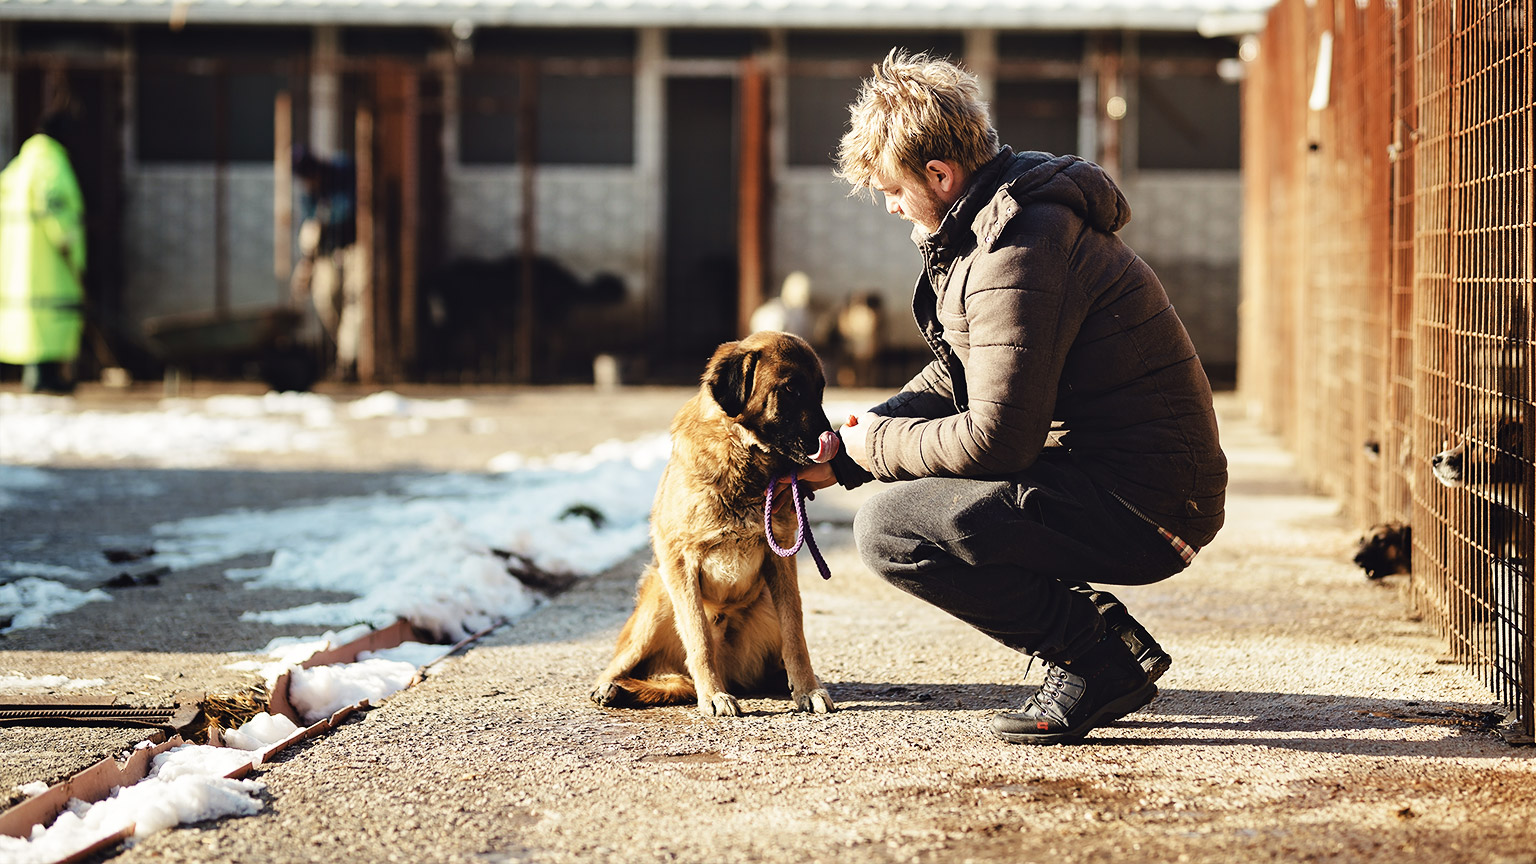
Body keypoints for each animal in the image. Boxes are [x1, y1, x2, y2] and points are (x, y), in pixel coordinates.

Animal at [592, 328, 841, 713]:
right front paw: (712, 695)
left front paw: (807, 688)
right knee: (624, 664)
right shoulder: (679, 563)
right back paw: (612, 687)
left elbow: (795, 634)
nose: (834, 442)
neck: (742, 457)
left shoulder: (782, 564)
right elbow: (699, 638)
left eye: (819, 390)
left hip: (764, 602)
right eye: (790, 389)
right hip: (659, 598)